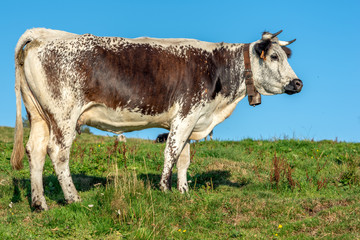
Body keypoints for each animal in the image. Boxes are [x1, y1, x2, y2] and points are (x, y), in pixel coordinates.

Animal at [11, 28, 302, 209]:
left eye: (284, 56)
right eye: (273, 56)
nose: (297, 83)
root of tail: (44, 34)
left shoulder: (191, 119)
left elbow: (184, 158)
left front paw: (184, 192)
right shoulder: (186, 114)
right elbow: (171, 153)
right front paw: (165, 189)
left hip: (39, 115)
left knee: (35, 150)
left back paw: (40, 203)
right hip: (64, 114)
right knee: (58, 152)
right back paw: (73, 198)